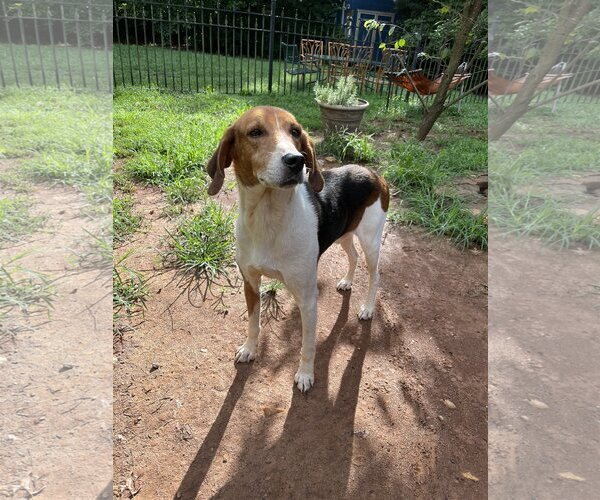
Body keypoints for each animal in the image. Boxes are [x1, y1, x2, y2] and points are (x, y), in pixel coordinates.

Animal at [206, 107, 390, 392]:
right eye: (255, 132)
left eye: (295, 131)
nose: (297, 160)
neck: (268, 218)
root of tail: (373, 173)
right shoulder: (250, 283)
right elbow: (253, 323)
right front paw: (249, 349)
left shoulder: (307, 298)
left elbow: (307, 344)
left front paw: (305, 375)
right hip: (344, 234)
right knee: (353, 256)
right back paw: (347, 281)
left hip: (371, 240)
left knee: (374, 274)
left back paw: (368, 308)